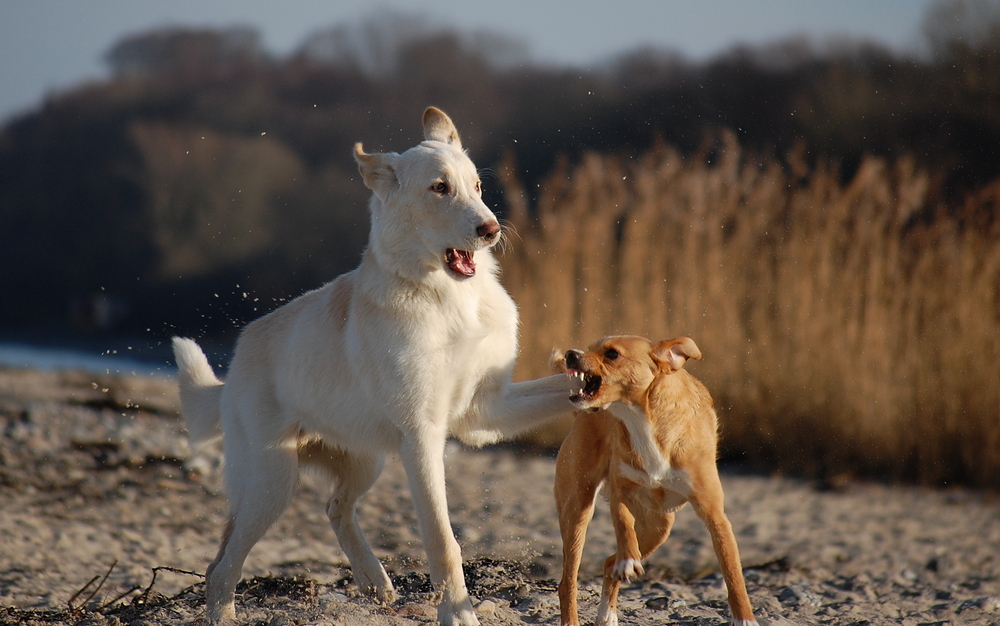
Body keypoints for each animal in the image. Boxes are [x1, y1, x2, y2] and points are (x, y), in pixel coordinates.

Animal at [174, 108, 572, 624]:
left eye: (478, 186)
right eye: (439, 188)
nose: (491, 230)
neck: (447, 298)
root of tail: (234, 367)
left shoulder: (485, 414)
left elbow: (562, 386)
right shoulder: (423, 437)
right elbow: (443, 541)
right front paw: (457, 612)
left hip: (364, 462)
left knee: (333, 509)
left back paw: (374, 581)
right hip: (272, 483)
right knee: (222, 565)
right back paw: (225, 613)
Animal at [552, 336, 752, 624]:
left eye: (612, 354)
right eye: (590, 347)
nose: (571, 354)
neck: (643, 421)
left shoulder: (715, 515)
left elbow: (733, 573)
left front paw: (746, 618)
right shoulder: (620, 490)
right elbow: (623, 524)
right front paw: (628, 560)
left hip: (659, 528)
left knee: (608, 563)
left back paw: (608, 615)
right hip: (578, 510)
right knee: (569, 581)